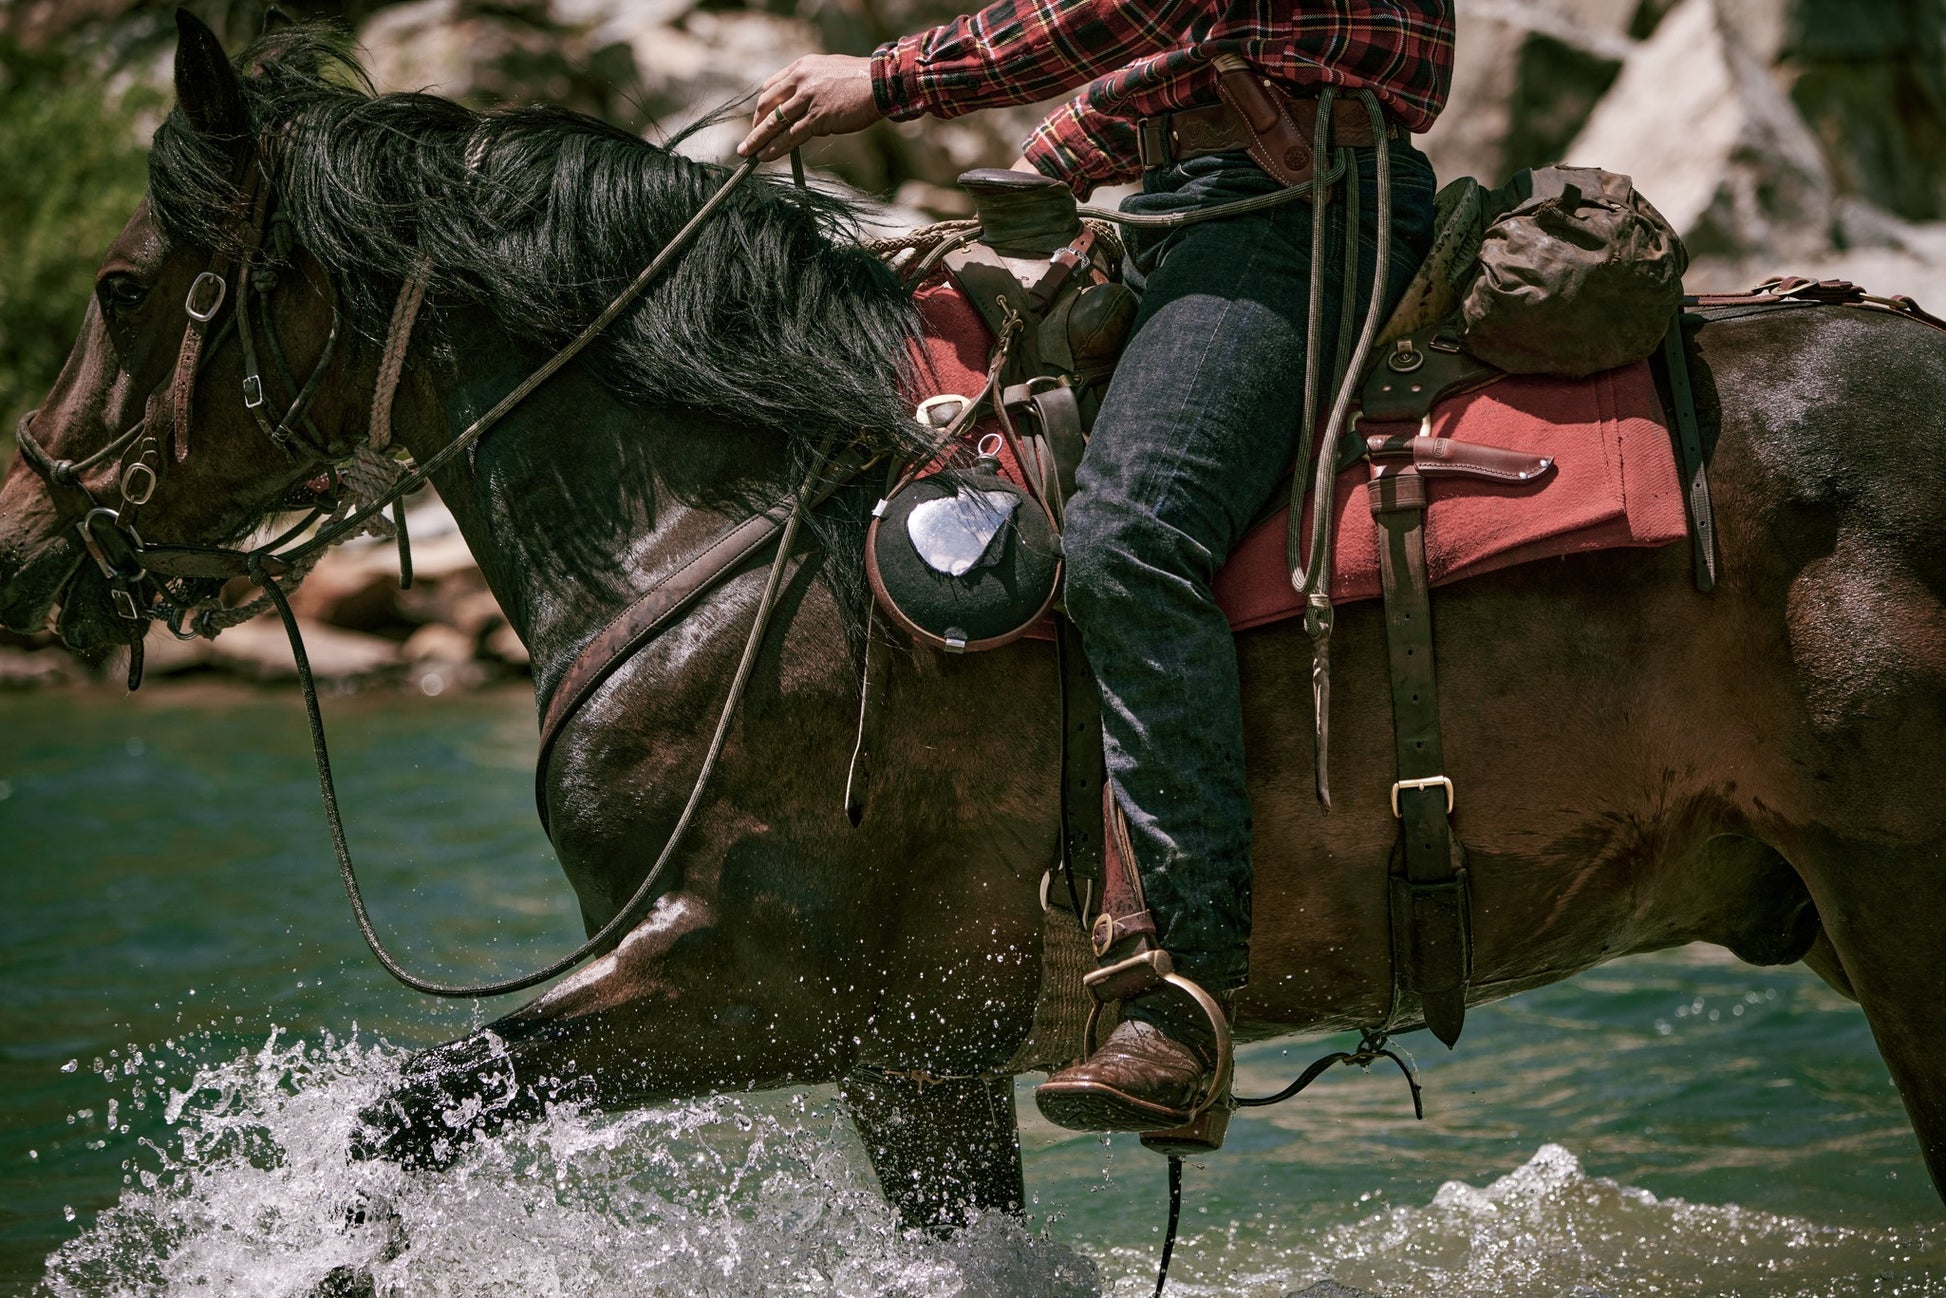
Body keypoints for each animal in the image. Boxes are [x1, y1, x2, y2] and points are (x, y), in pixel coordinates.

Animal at [3, 12, 1946, 1245]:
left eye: (121, 285)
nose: (24, 538)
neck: (728, 516)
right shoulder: (918, 1059)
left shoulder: (752, 979)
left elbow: (391, 1120)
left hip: (1899, 911)